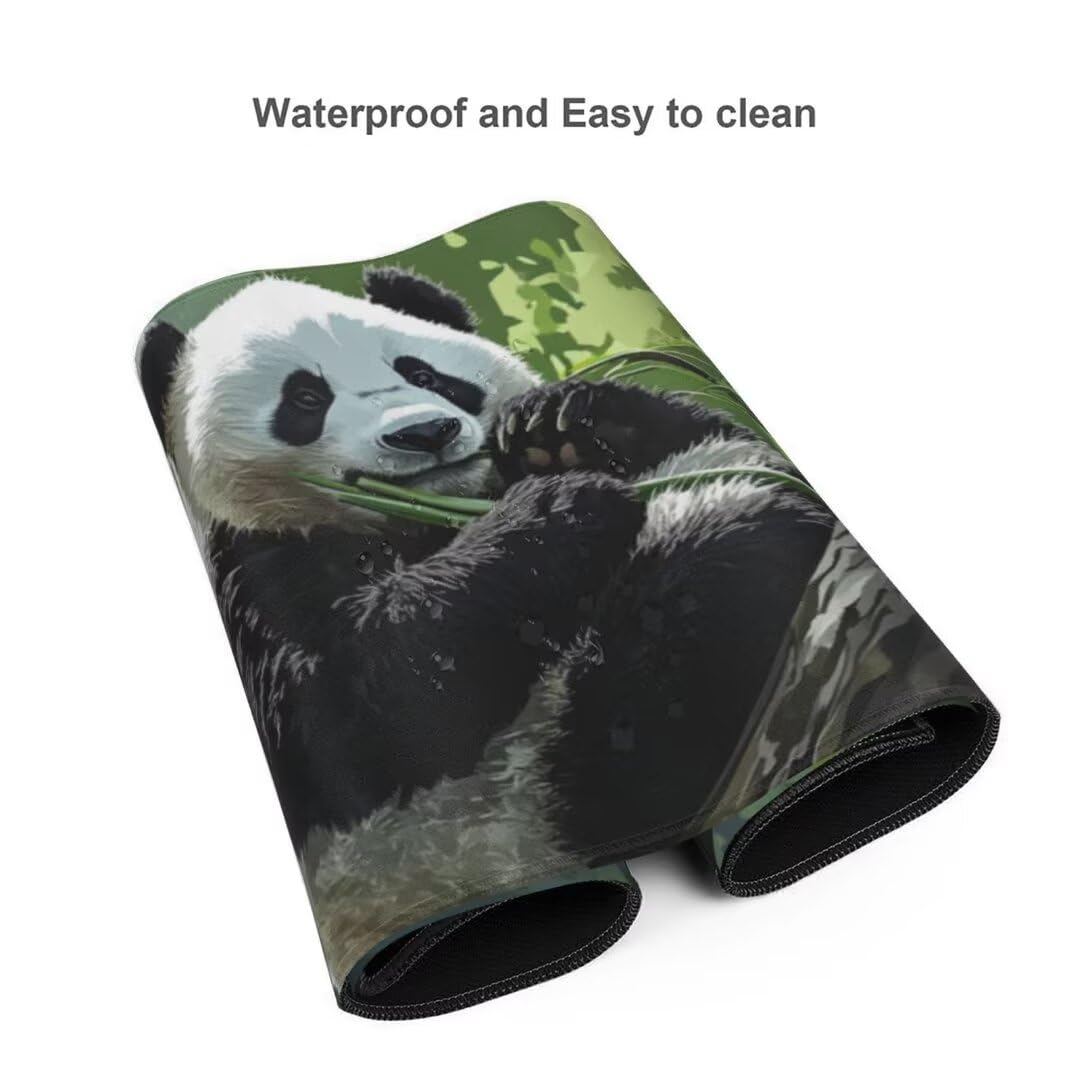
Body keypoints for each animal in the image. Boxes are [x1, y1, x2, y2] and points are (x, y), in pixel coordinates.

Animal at [138, 268, 833, 882]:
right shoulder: (262, 575)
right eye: (306, 398)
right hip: (516, 803)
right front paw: (560, 508)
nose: (426, 431)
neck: (421, 519)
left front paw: (559, 430)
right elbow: (367, 708)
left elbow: (699, 431)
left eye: (423, 374)